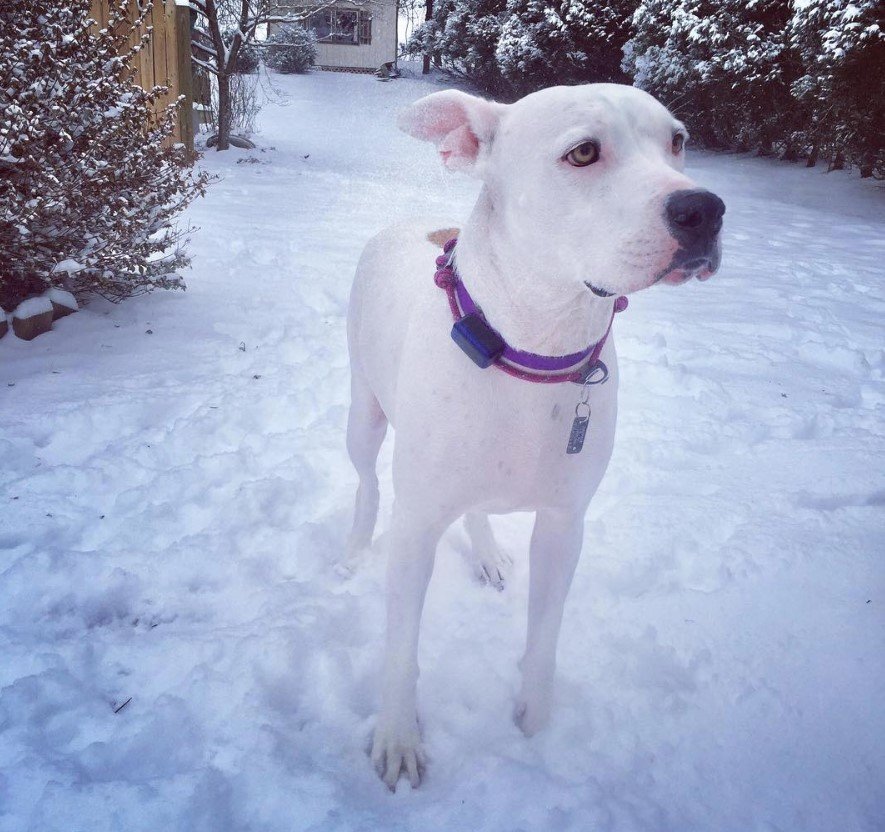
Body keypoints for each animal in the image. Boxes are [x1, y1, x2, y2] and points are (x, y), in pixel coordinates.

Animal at [342, 81, 720, 788]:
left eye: (678, 140)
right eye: (583, 152)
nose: (704, 209)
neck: (537, 345)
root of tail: (407, 222)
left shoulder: (564, 523)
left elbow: (545, 631)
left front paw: (536, 719)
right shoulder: (415, 529)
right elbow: (401, 646)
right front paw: (398, 735)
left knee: (477, 509)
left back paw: (488, 553)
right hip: (364, 410)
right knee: (365, 479)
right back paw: (354, 549)